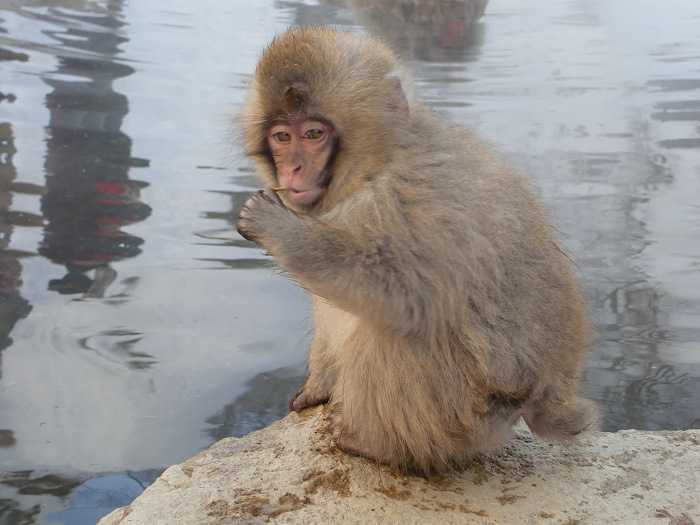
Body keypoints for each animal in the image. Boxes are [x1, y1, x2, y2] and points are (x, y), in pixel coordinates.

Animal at [236, 26, 598, 474]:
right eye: (282, 137)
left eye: (314, 134)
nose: (293, 170)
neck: (376, 165)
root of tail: (543, 398)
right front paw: (317, 384)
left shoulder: (411, 197)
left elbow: (407, 293)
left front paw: (282, 230)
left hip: (463, 408)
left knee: (402, 326)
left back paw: (373, 444)